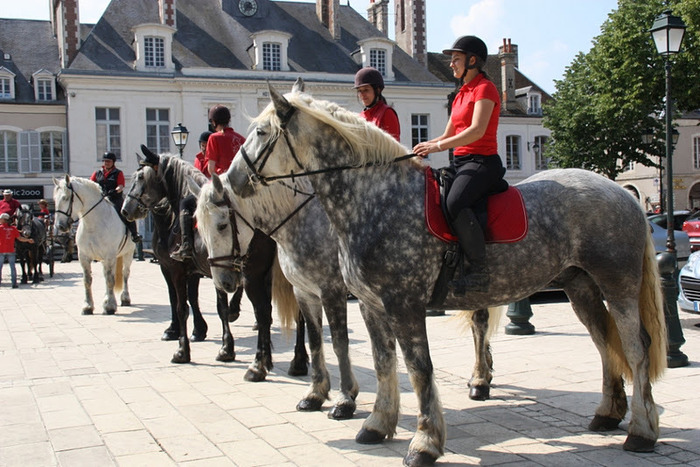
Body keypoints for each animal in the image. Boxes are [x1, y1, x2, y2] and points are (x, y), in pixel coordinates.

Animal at [53, 176, 134, 314]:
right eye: (55, 199)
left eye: (66, 197)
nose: (60, 226)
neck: (93, 225)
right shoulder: (84, 257)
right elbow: (87, 280)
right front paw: (88, 306)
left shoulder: (109, 256)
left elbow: (110, 280)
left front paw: (110, 306)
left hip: (128, 253)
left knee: (125, 274)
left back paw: (125, 299)